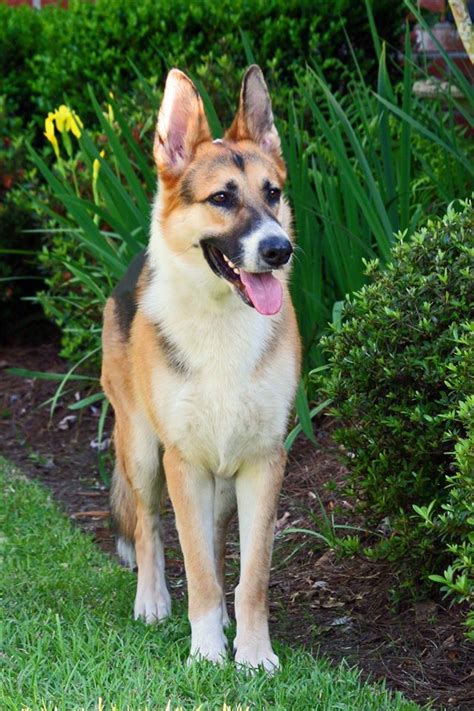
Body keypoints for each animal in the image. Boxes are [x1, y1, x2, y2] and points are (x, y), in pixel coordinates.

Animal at [100, 67, 302, 672]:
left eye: (272, 193)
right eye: (221, 198)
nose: (280, 250)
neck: (220, 319)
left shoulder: (263, 463)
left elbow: (249, 575)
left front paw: (253, 655)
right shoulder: (182, 463)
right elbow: (198, 572)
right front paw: (208, 653)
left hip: (221, 482)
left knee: (211, 546)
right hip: (143, 451)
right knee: (148, 527)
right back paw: (152, 600)